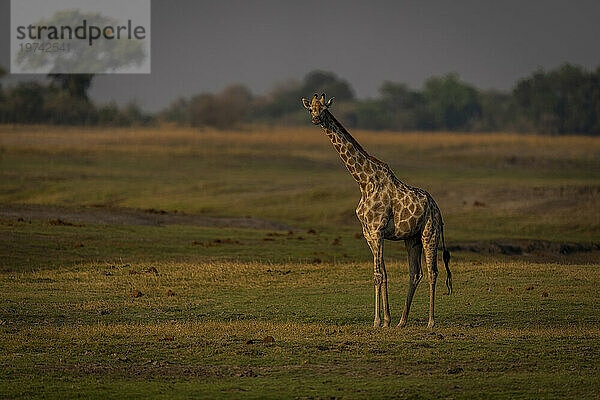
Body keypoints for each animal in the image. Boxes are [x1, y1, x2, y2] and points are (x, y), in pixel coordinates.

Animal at [302, 94, 452, 328]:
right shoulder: (368, 233)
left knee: (432, 272)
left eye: (324, 109)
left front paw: (377, 321)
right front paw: (387, 320)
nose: (316, 119)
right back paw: (402, 321)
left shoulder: (377, 230)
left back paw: (431, 321)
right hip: (412, 238)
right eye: (311, 109)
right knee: (415, 273)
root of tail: (437, 208)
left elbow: (379, 275)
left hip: (430, 233)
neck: (364, 183)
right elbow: (381, 274)